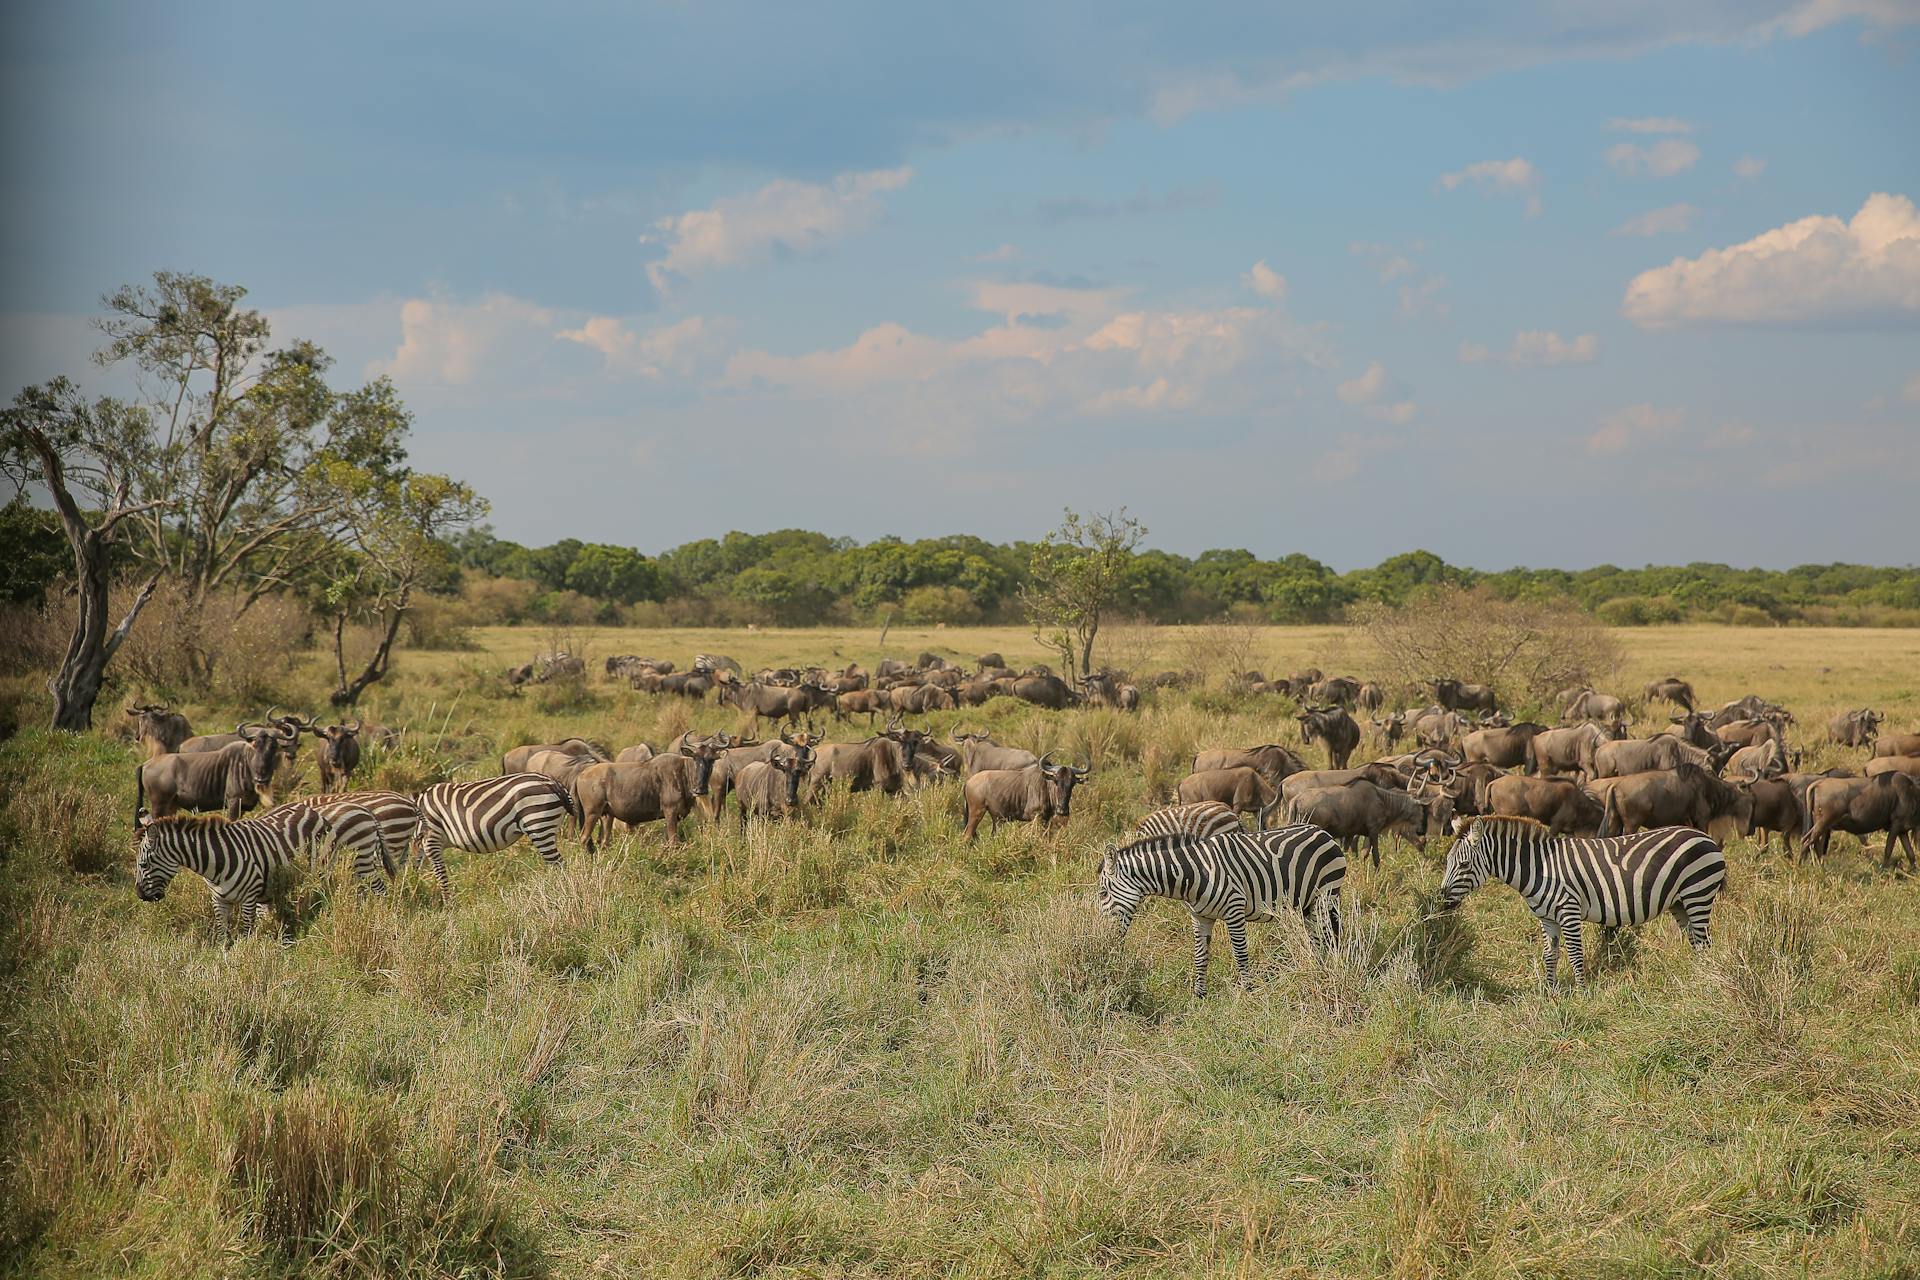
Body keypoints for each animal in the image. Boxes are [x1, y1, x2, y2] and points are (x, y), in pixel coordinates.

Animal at [132, 805, 385, 948]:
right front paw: (223, 958)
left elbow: (245, 932)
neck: (215, 862)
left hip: (327, 866)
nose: (140, 895)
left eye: (143, 864)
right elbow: (222, 933)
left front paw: (244, 958)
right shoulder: (219, 899)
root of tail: (312, 811)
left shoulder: (248, 898)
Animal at [412, 775, 576, 898]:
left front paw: (448, 906)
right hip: (547, 826)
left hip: (538, 824)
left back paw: (559, 892)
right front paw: (413, 888)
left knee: (558, 864)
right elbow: (417, 867)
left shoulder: (431, 840)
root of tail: (553, 783)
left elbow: (441, 877)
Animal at [1098, 825, 1351, 997]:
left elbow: (1240, 954)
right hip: (1308, 905)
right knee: (1316, 939)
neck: (1194, 873)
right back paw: (1318, 969)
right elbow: (1200, 956)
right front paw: (1199, 995)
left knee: (1330, 936)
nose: (1102, 940)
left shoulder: (1234, 910)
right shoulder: (1200, 917)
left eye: (1102, 894)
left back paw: (1332, 968)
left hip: (1326, 895)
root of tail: (1323, 832)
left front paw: (1248, 991)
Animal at [1436, 817, 1735, 990]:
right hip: (1679, 903)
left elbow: (1575, 954)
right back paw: (1697, 978)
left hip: (1698, 894)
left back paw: (1703, 983)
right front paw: (1551, 993)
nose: (1442, 902)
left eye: (1463, 864)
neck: (1540, 868)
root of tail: (1706, 837)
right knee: (1698, 944)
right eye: (1447, 862)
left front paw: (1581, 994)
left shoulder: (1568, 911)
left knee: (1704, 943)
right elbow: (1550, 955)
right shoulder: (1547, 918)